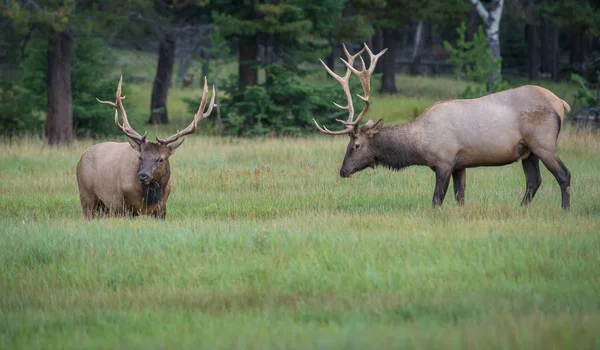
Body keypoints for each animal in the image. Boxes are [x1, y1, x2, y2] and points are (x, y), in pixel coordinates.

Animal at [75, 76, 216, 219]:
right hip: (87, 195)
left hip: (103, 207)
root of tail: (81, 158)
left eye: (161, 159)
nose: (143, 176)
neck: (149, 200)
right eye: (140, 157)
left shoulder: (161, 210)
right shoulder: (123, 207)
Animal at [314, 45, 572, 212]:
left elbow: (436, 200)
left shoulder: (445, 161)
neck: (418, 144)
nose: (342, 171)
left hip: (544, 143)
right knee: (534, 181)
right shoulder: (460, 165)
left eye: (356, 145)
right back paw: (521, 209)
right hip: (528, 151)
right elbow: (460, 198)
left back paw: (565, 211)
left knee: (564, 175)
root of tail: (561, 103)